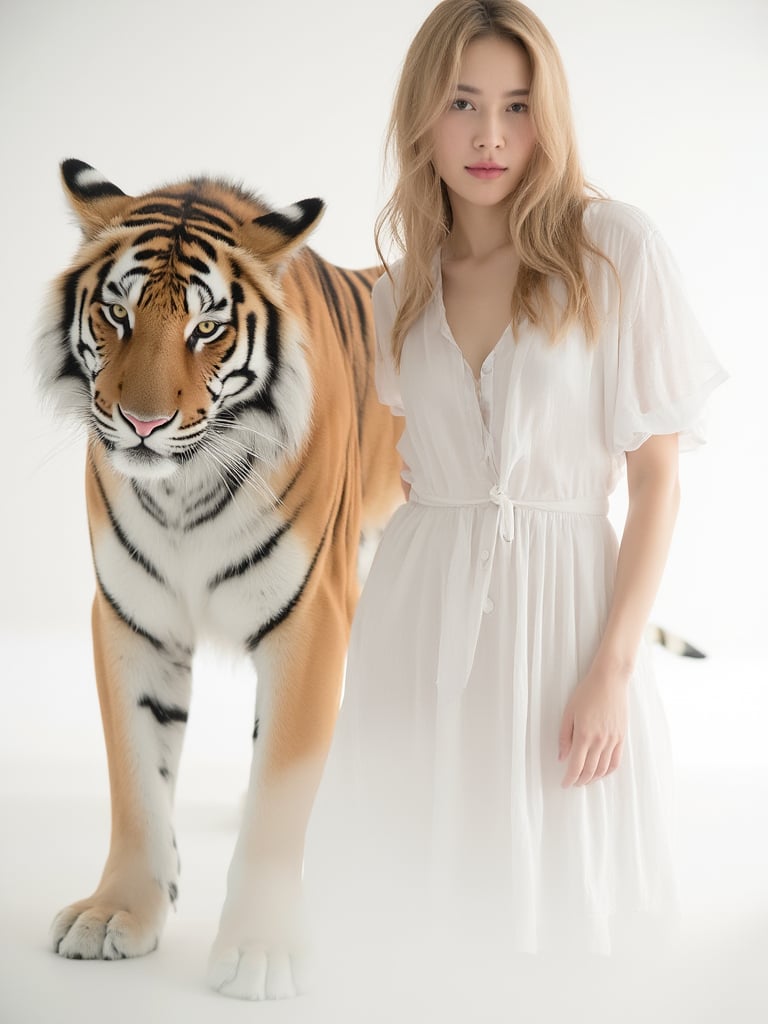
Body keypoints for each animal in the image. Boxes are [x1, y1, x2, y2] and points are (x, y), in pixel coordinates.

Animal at [37, 159, 403, 999]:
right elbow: (137, 780)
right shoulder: (132, 618)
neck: (182, 489)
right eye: (116, 313)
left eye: (207, 328)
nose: (141, 424)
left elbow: (279, 794)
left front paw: (262, 948)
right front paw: (116, 913)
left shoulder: (310, 619)